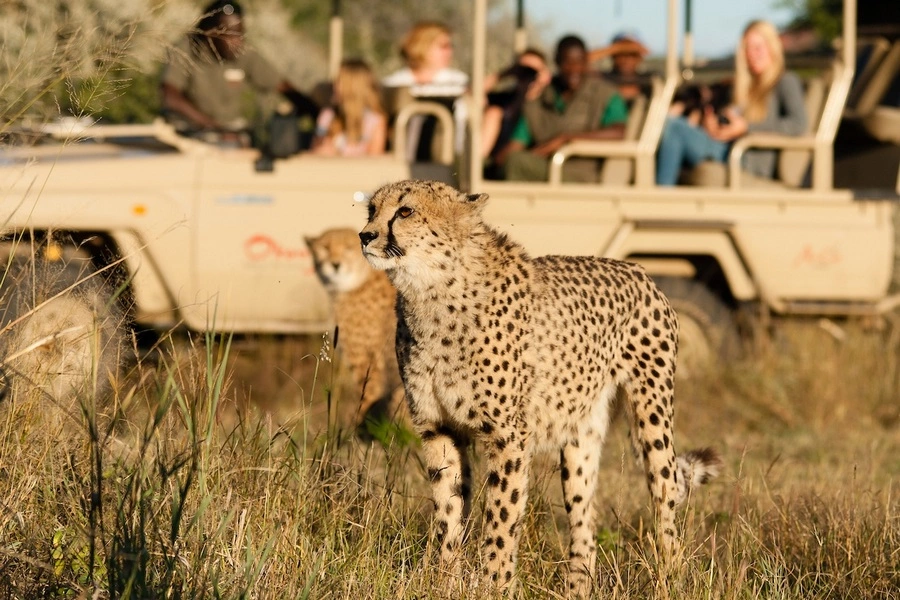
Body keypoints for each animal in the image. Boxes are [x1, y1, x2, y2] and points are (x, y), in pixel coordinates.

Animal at [356, 178, 716, 596]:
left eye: (405, 211)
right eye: (371, 210)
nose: (365, 235)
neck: (432, 289)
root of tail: (638, 269)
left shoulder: (507, 435)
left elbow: (500, 518)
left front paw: (496, 587)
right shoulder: (438, 428)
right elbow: (448, 512)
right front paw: (444, 583)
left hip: (652, 416)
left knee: (665, 505)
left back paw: (669, 580)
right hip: (580, 437)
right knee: (584, 522)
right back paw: (577, 588)